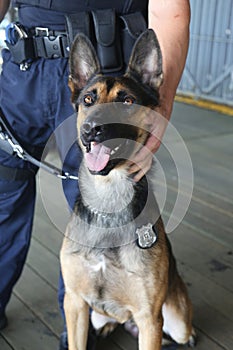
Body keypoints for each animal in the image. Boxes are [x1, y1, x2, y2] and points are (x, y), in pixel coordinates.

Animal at [60, 30, 197, 350]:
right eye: (88, 99)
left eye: (128, 100)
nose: (91, 129)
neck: (108, 201)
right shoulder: (74, 303)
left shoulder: (149, 318)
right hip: (95, 315)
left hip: (174, 320)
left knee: (180, 333)